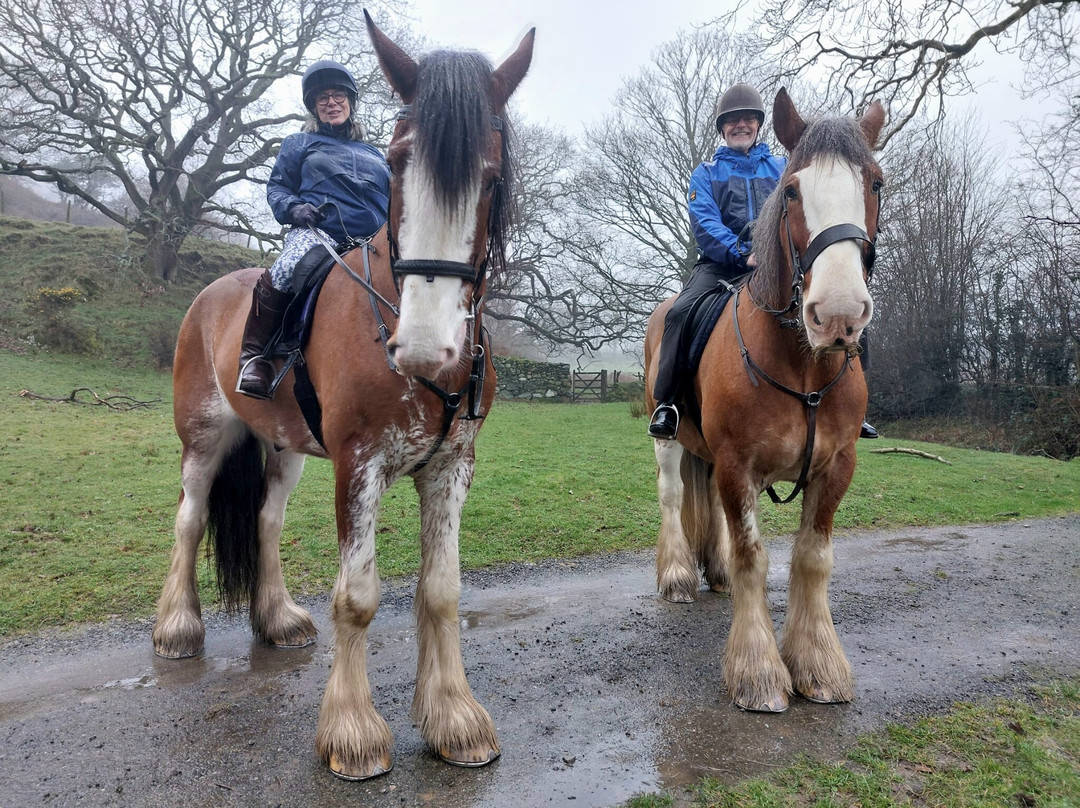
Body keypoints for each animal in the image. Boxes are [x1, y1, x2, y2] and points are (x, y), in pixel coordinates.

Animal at [152, 13, 534, 780]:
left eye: (490, 178)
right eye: (395, 162)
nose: (424, 347)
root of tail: (212, 292)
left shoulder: (450, 468)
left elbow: (441, 591)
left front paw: (453, 719)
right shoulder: (360, 465)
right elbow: (356, 598)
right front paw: (353, 732)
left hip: (284, 450)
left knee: (265, 521)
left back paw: (277, 619)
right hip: (204, 439)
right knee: (189, 518)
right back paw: (178, 627)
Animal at [644, 89, 885, 713]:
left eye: (875, 183)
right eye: (793, 190)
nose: (839, 314)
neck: (802, 363)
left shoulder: (835, 466)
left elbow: (812, 557)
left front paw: (818, 664)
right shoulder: (737, 465)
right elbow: (754, 557)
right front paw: (757, 671)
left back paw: (715, 571)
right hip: (670, 442)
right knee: (673, 495)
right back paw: (678, 576)